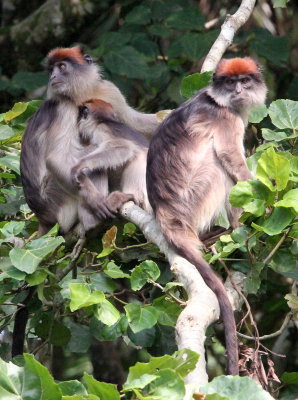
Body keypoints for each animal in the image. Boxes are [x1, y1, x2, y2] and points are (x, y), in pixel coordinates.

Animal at [147, 57, 268, 376]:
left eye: (244, 81)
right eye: (230, 83)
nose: (238, 90)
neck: (219, 102)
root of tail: (165, 213)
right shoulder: (227, 120)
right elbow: (231, 158)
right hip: (196, 196)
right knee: (220, 167)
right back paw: (235, 227)